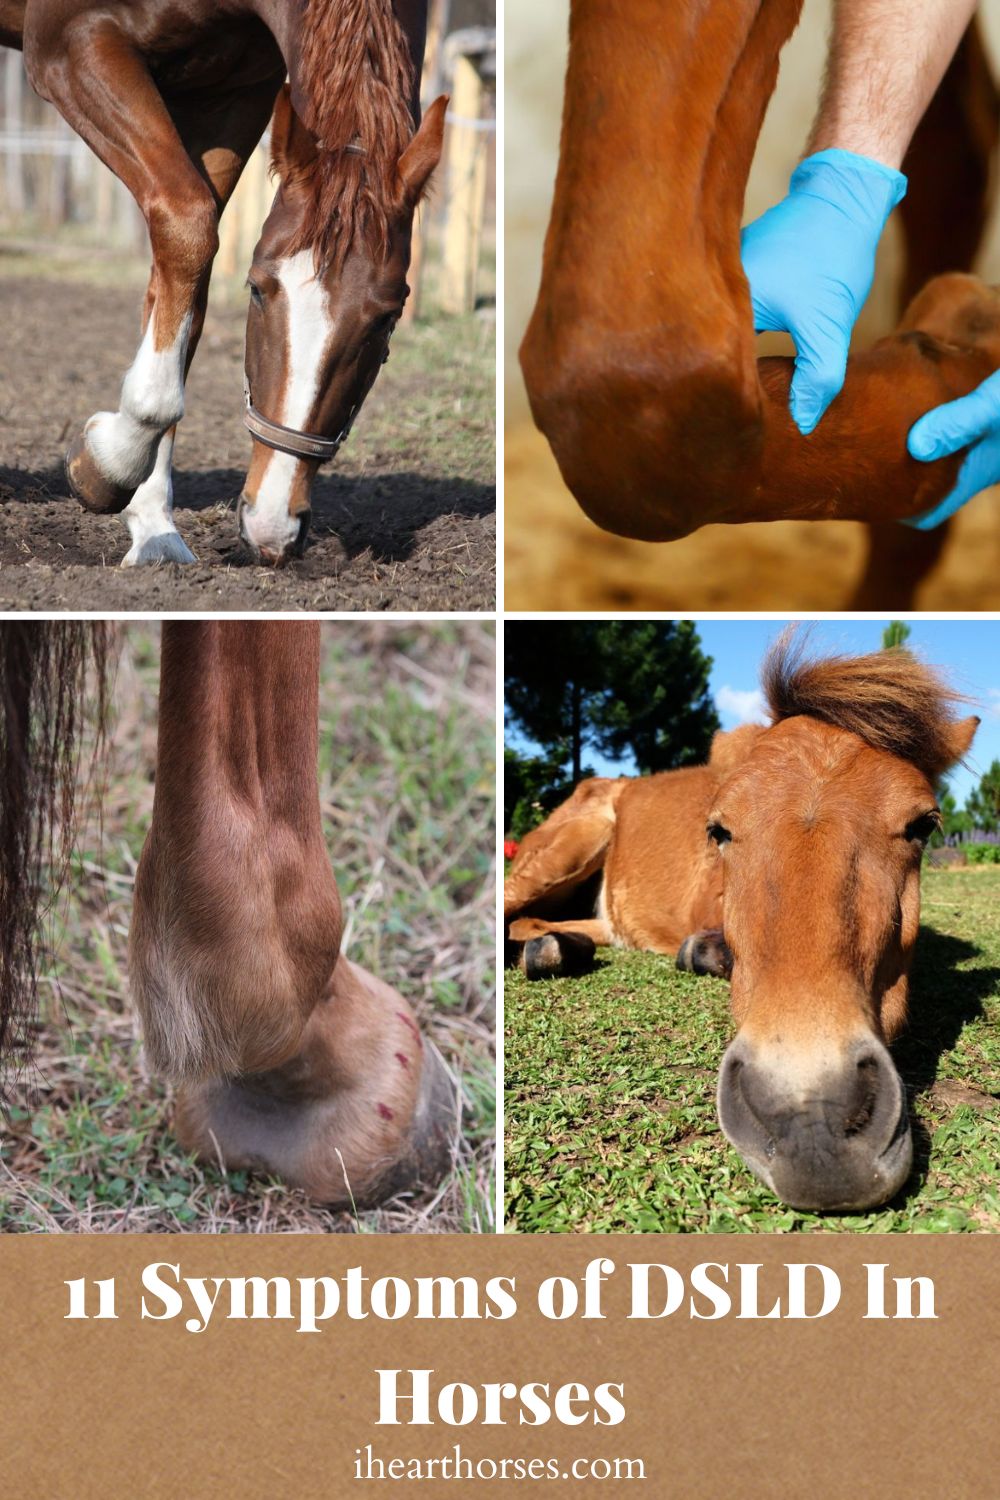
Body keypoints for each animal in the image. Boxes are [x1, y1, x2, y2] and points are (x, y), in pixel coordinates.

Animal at [0, 1, 445, 567]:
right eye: (257, 288)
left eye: (388, 319)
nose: (272, 526)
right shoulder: (69, 44)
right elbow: (188, 224)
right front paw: (106, 464)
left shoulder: (235, 91)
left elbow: (180, 276)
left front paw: (152, 526)